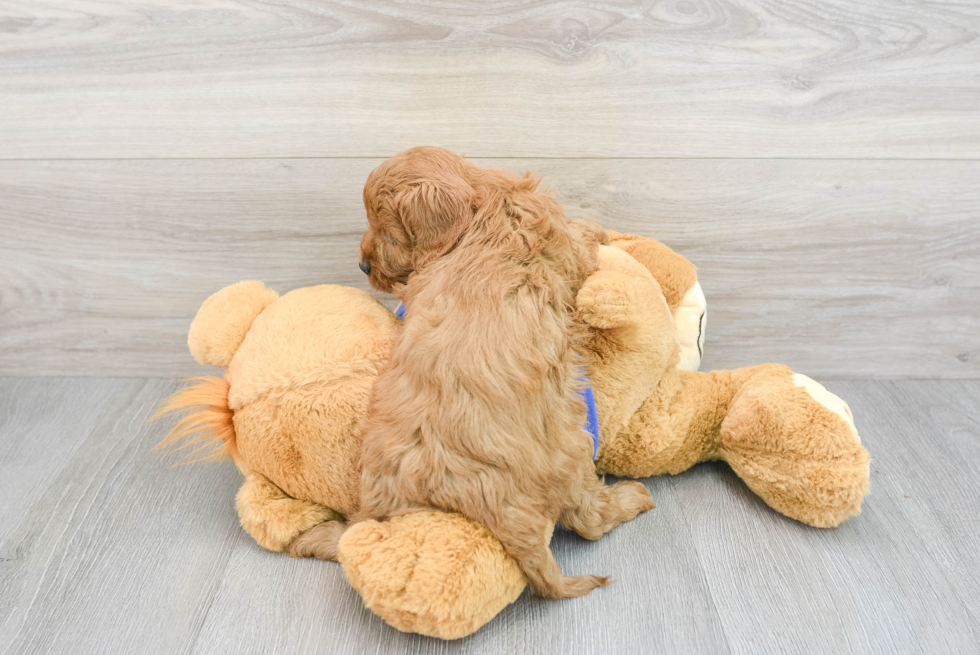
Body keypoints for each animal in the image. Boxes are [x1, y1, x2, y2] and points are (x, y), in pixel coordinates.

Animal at [294, 149, 656, 600]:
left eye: (389, 235)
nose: (362, 266)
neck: (481, 209)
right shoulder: (563, 247)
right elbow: (582, 239)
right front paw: (601, 230)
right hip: (572, 453)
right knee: (588, 518)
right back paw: (631, 498)